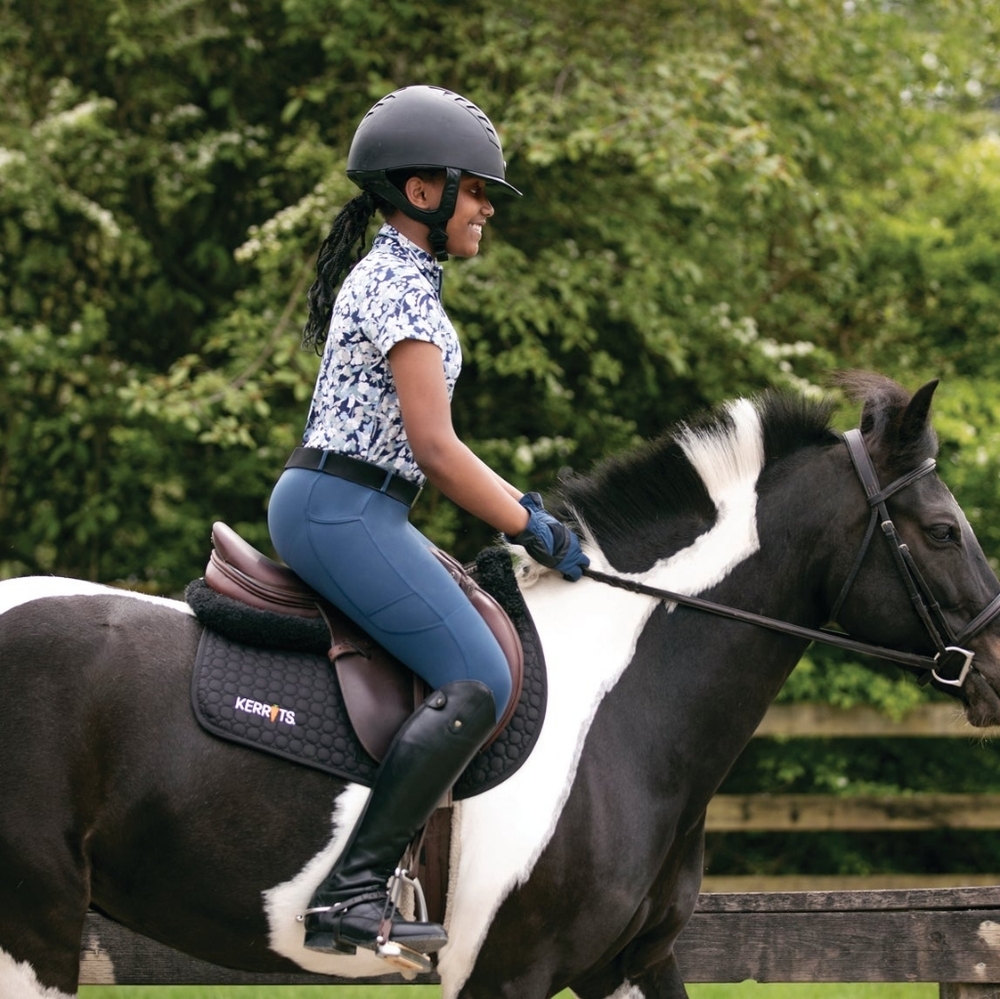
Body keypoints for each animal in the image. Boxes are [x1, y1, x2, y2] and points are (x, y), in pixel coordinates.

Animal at [3, 371, 1000, 999]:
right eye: (944, 530)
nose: (995, 670)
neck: (624, 709)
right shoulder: (508, 973)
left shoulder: (628, 963)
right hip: (34, 925)